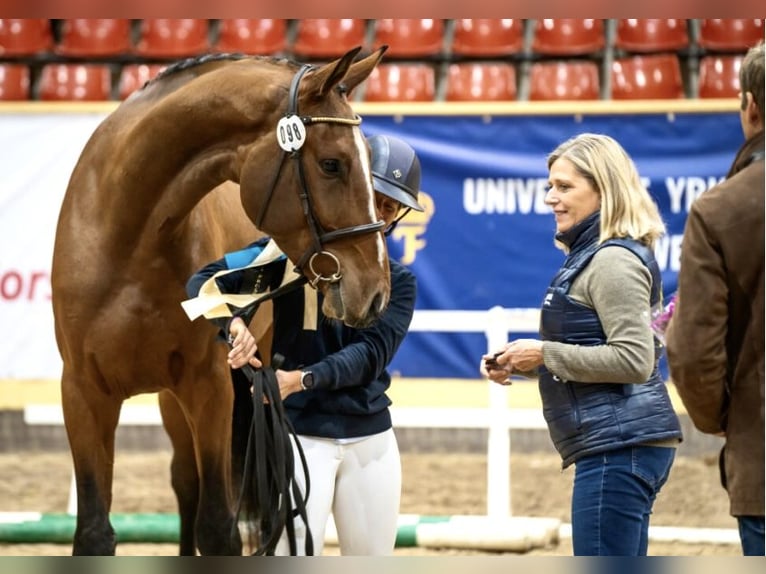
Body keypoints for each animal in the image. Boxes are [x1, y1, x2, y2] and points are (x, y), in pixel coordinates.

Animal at [49, 46, 390, 560]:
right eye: (332, 164)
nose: (375, 289)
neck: (127, 236)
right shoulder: (83, 394)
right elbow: (93, 530)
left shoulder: (208, 388)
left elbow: (217, 527)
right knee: (184, 483)